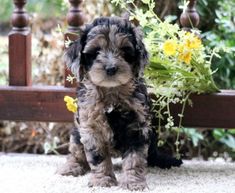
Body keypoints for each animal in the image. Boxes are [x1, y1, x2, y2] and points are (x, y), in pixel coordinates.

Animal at [57, 16, 183, 190]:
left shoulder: (136, 126)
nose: (111, 68)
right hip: (77, 132)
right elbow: (98, 157)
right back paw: (71, 167)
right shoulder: (91, 126)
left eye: (124, 50)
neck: (111, 92)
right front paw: (102, 180)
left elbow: (135, 158)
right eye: (96, 51)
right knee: (76, 151)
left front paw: (133, 182)